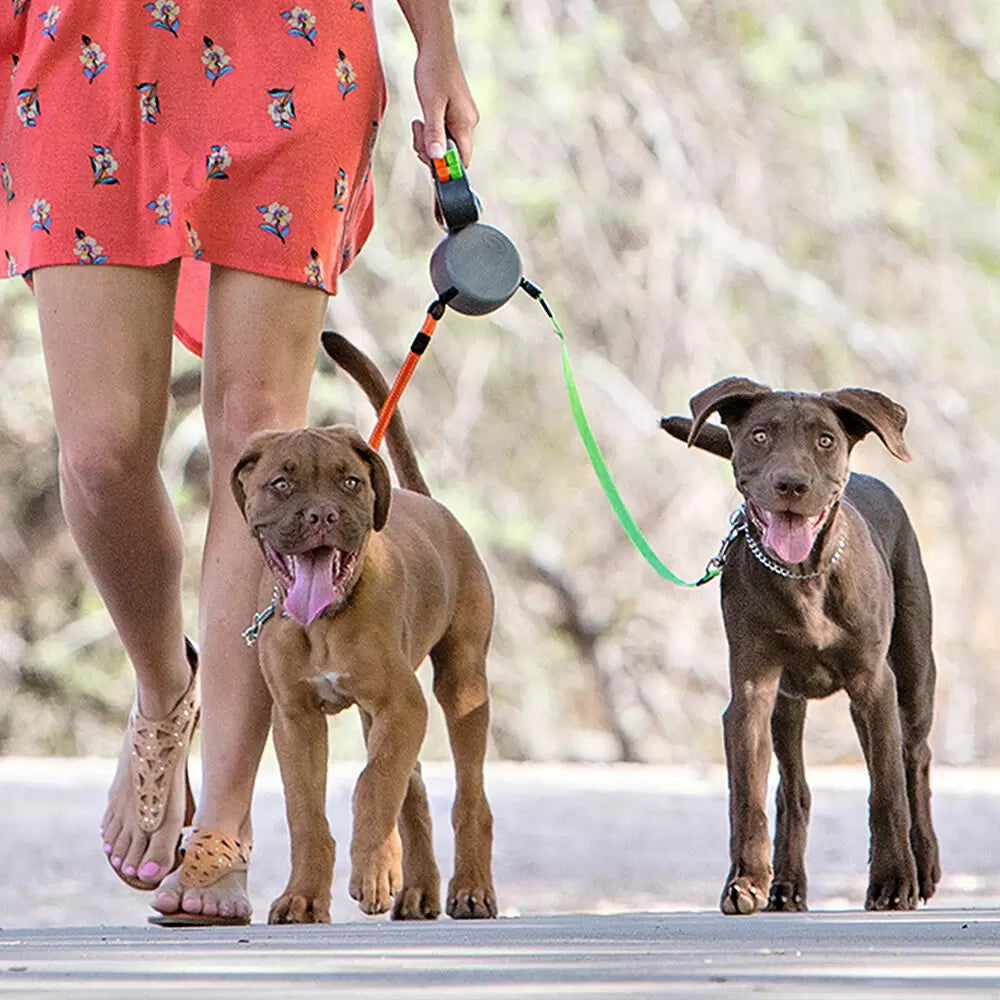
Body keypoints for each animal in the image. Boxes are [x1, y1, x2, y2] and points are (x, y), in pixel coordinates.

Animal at [235, 334, 500, 920]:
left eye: (351, 483)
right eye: (281, 484)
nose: (321, 516)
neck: (324, 622)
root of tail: (434, 506)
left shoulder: (403, 706)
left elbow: (372, 784)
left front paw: (374, 869)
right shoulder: (296, 719)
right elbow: (307, 814)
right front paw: (304, 896)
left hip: (462, 684)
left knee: (470, 798)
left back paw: (470, 889)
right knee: (415, 786)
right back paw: (418, 887)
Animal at [664, 380, 936, 916]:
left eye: (826, 441)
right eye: (760, 435)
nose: (791, 485)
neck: (805, 577)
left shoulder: (874, 686)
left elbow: (887, 791)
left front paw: (894, 881)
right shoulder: (752, 693)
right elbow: (747, 796)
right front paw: (745, 882)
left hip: (913, 677)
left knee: (913, 761)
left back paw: (924, 864)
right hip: (787, 706)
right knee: (794, 790)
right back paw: (786, 885)